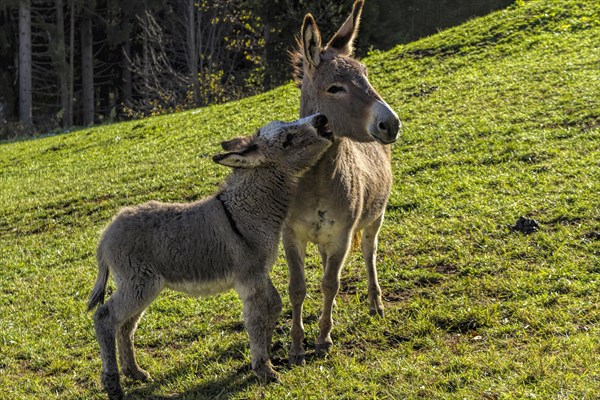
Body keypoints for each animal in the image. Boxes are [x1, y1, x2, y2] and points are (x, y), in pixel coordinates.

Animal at [87, 114, 336, 398]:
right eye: (287, 140)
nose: (321, 119)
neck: (247, 211)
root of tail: (107, 232)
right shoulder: (250, 277)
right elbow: (257, 317)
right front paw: (264, 369)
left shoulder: (260, 271)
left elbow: (273, 306)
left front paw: (265, 355)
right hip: (138, 283)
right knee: (106, 318)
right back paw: (113, 383)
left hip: (142, 285)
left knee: (126, 325)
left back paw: (134, 372)